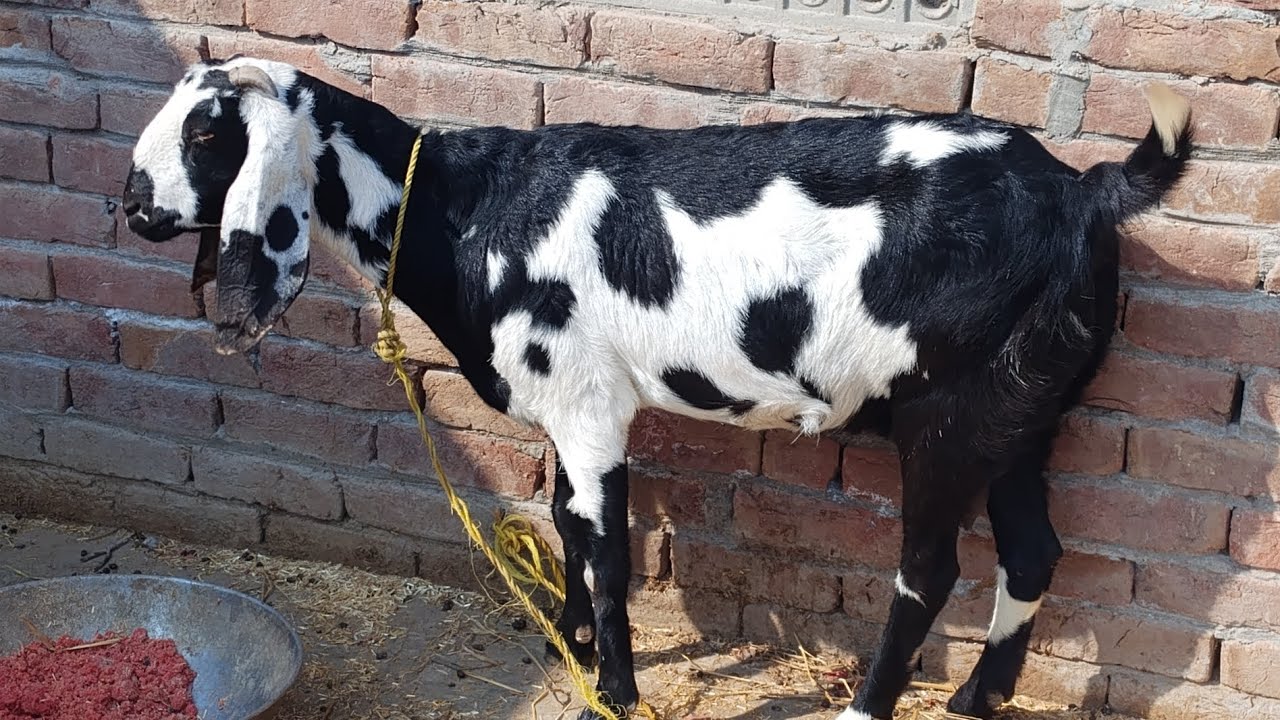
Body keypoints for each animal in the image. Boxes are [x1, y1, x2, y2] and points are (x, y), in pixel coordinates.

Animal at [122, 56, 1192, 720]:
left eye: (211, 132)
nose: (133, 204)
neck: (468, 212)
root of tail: (1087, 191)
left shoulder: (590, 404)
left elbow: (606, 550)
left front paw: (618, 690)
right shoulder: (563, 405)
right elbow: (562, 522)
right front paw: (567, 648)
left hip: (951, 415)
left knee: (927, 571)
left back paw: (865, 705)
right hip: (1023, 411)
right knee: (1034, 551)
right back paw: (974, 701)